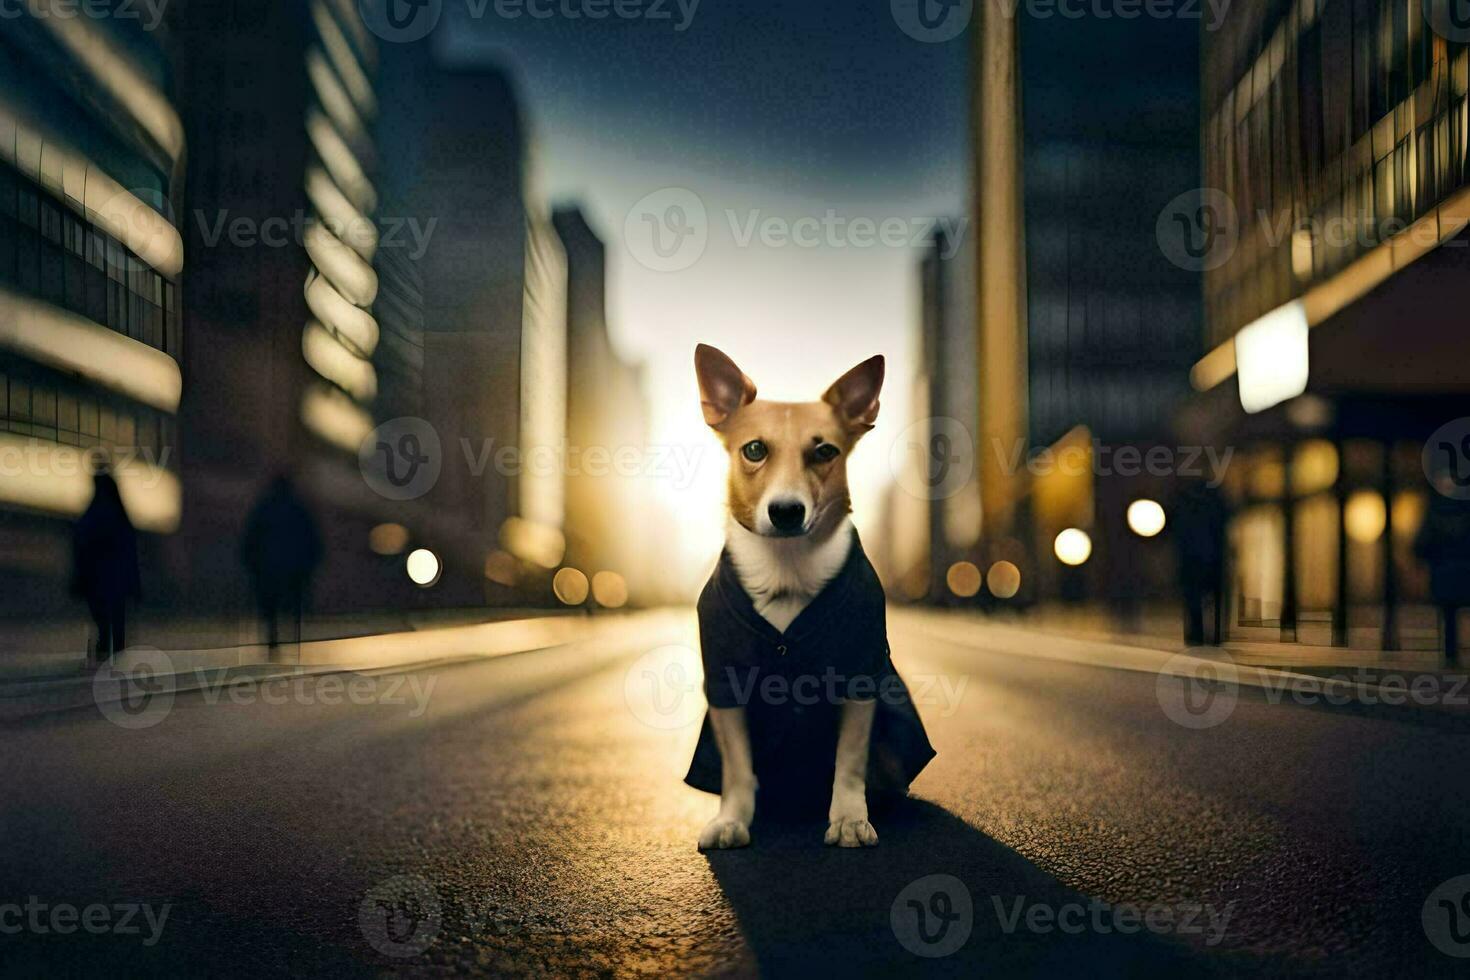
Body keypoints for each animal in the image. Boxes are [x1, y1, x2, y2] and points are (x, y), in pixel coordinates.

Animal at [685, 345, 934, 852]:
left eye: (825, 452)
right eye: (754, 450)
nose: (786, 511)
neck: (786, 569)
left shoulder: (859, 672)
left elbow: (851, 760)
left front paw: (849, 818)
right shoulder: (723, 678)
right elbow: (738, 766)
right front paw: (733, 818)